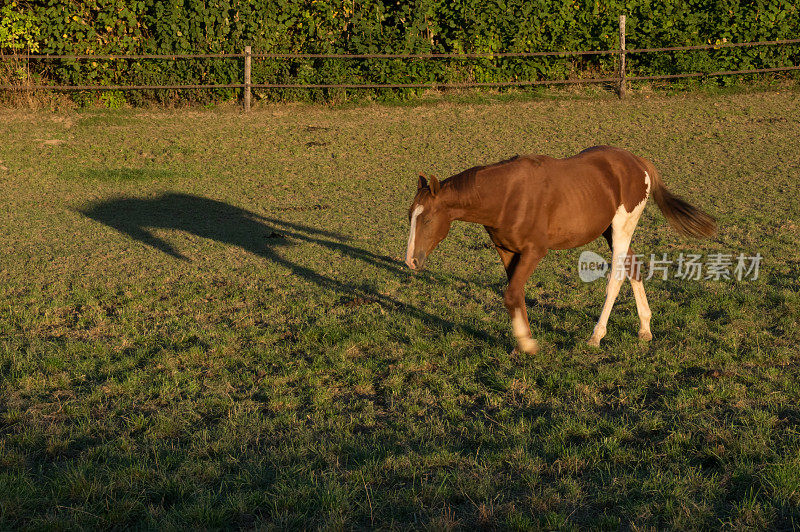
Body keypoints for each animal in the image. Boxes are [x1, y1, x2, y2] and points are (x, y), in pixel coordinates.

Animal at [404, 147, 716, 354]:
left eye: (427, 219)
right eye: (410, 216)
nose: (411, 261)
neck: (506, 196)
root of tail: (637, 162)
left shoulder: (534, 251)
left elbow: (511, 294)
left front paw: (528, 344)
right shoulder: (506, 251)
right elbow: (515, 294)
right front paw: (522, 342)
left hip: (622, 229)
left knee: (617, 277)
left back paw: (596, 336)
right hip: (610, 231)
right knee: (634, 268)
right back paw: (645, 329)